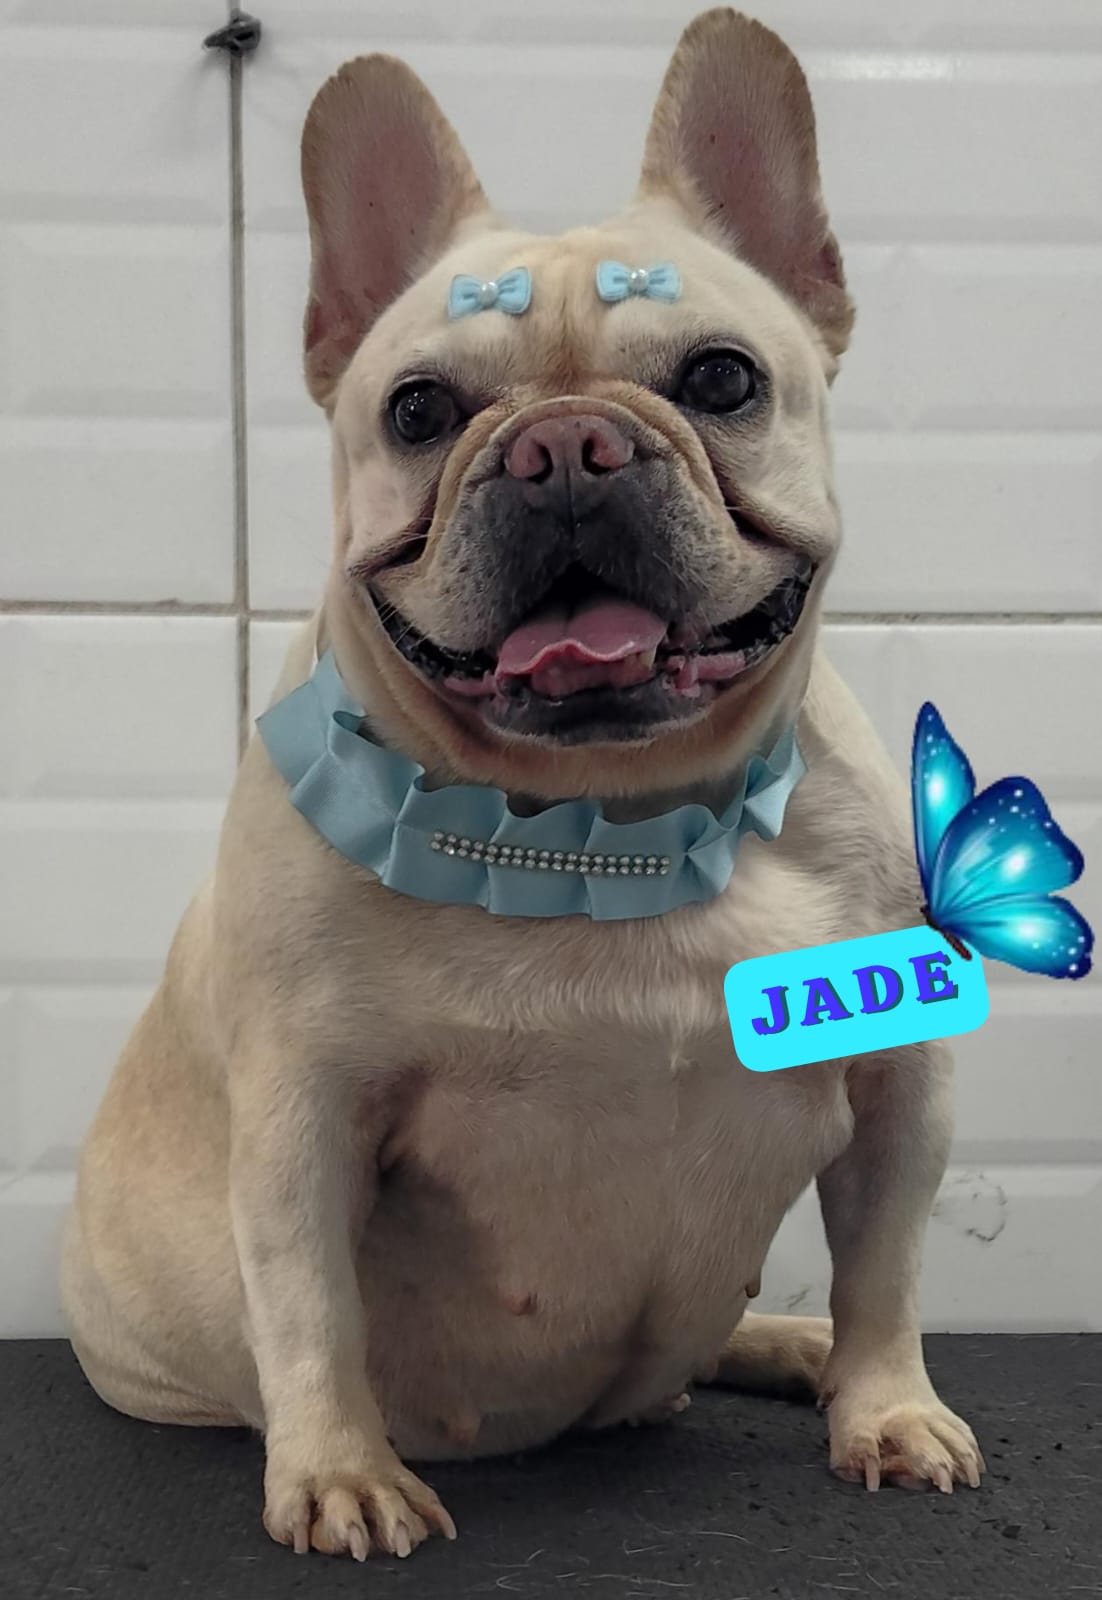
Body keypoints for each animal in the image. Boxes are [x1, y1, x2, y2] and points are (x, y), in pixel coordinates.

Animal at [61, 7, 984, 1562]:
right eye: (419, 410)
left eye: (721, 380)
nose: (563, 443)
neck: (617, 819)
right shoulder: (302, 1117)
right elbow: (309, 1303)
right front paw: (342, 1474)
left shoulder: (897, 1077)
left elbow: (884, 1267)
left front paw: (883, 1406)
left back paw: (788, 1348)